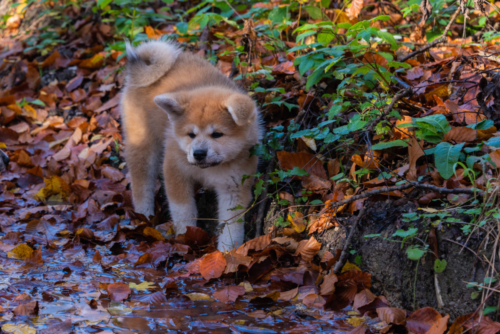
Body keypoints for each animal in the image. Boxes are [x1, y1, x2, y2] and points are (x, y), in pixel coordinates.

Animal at [120, 41, 262, 250]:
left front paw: (227, 252)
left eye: (217, 134)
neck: (210, 170)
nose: (199, 153)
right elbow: (183, 211)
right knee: (141, 183)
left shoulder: (235, 187)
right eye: (191, 134)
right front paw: (184, 237)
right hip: (143, 145)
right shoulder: (175, 171)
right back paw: (144, 217)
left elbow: (231, 226)